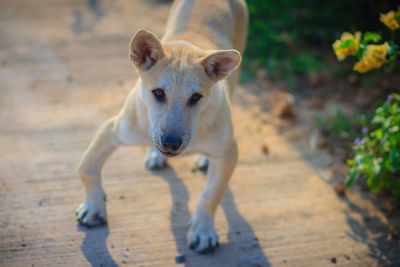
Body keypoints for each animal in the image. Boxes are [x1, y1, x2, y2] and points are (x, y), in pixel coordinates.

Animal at [76, 0, 247, 254]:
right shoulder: (113, 129)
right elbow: (86, 167)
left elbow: (211, 195)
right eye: (158, 93)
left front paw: (202, 231)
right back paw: (155, 155)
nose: (171, 143)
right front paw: (93, 207)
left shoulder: (228, 152)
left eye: (196, 98)